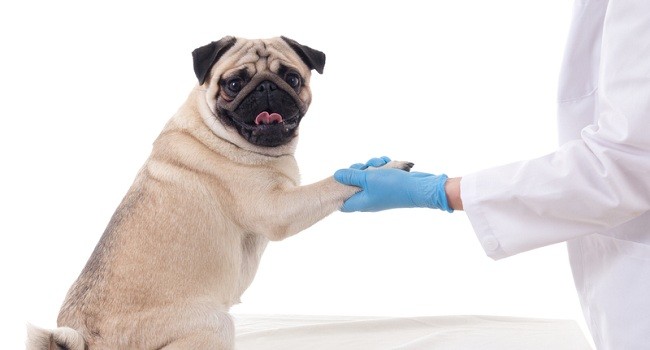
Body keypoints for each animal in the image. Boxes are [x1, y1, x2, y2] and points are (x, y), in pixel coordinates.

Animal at [26, 37, 410, 348]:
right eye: (234, 83)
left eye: (292, 78)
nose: (266, 88)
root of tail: (86, 341)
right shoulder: (279, 209)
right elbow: (333, 182)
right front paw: (382, 173)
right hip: (215, 323)